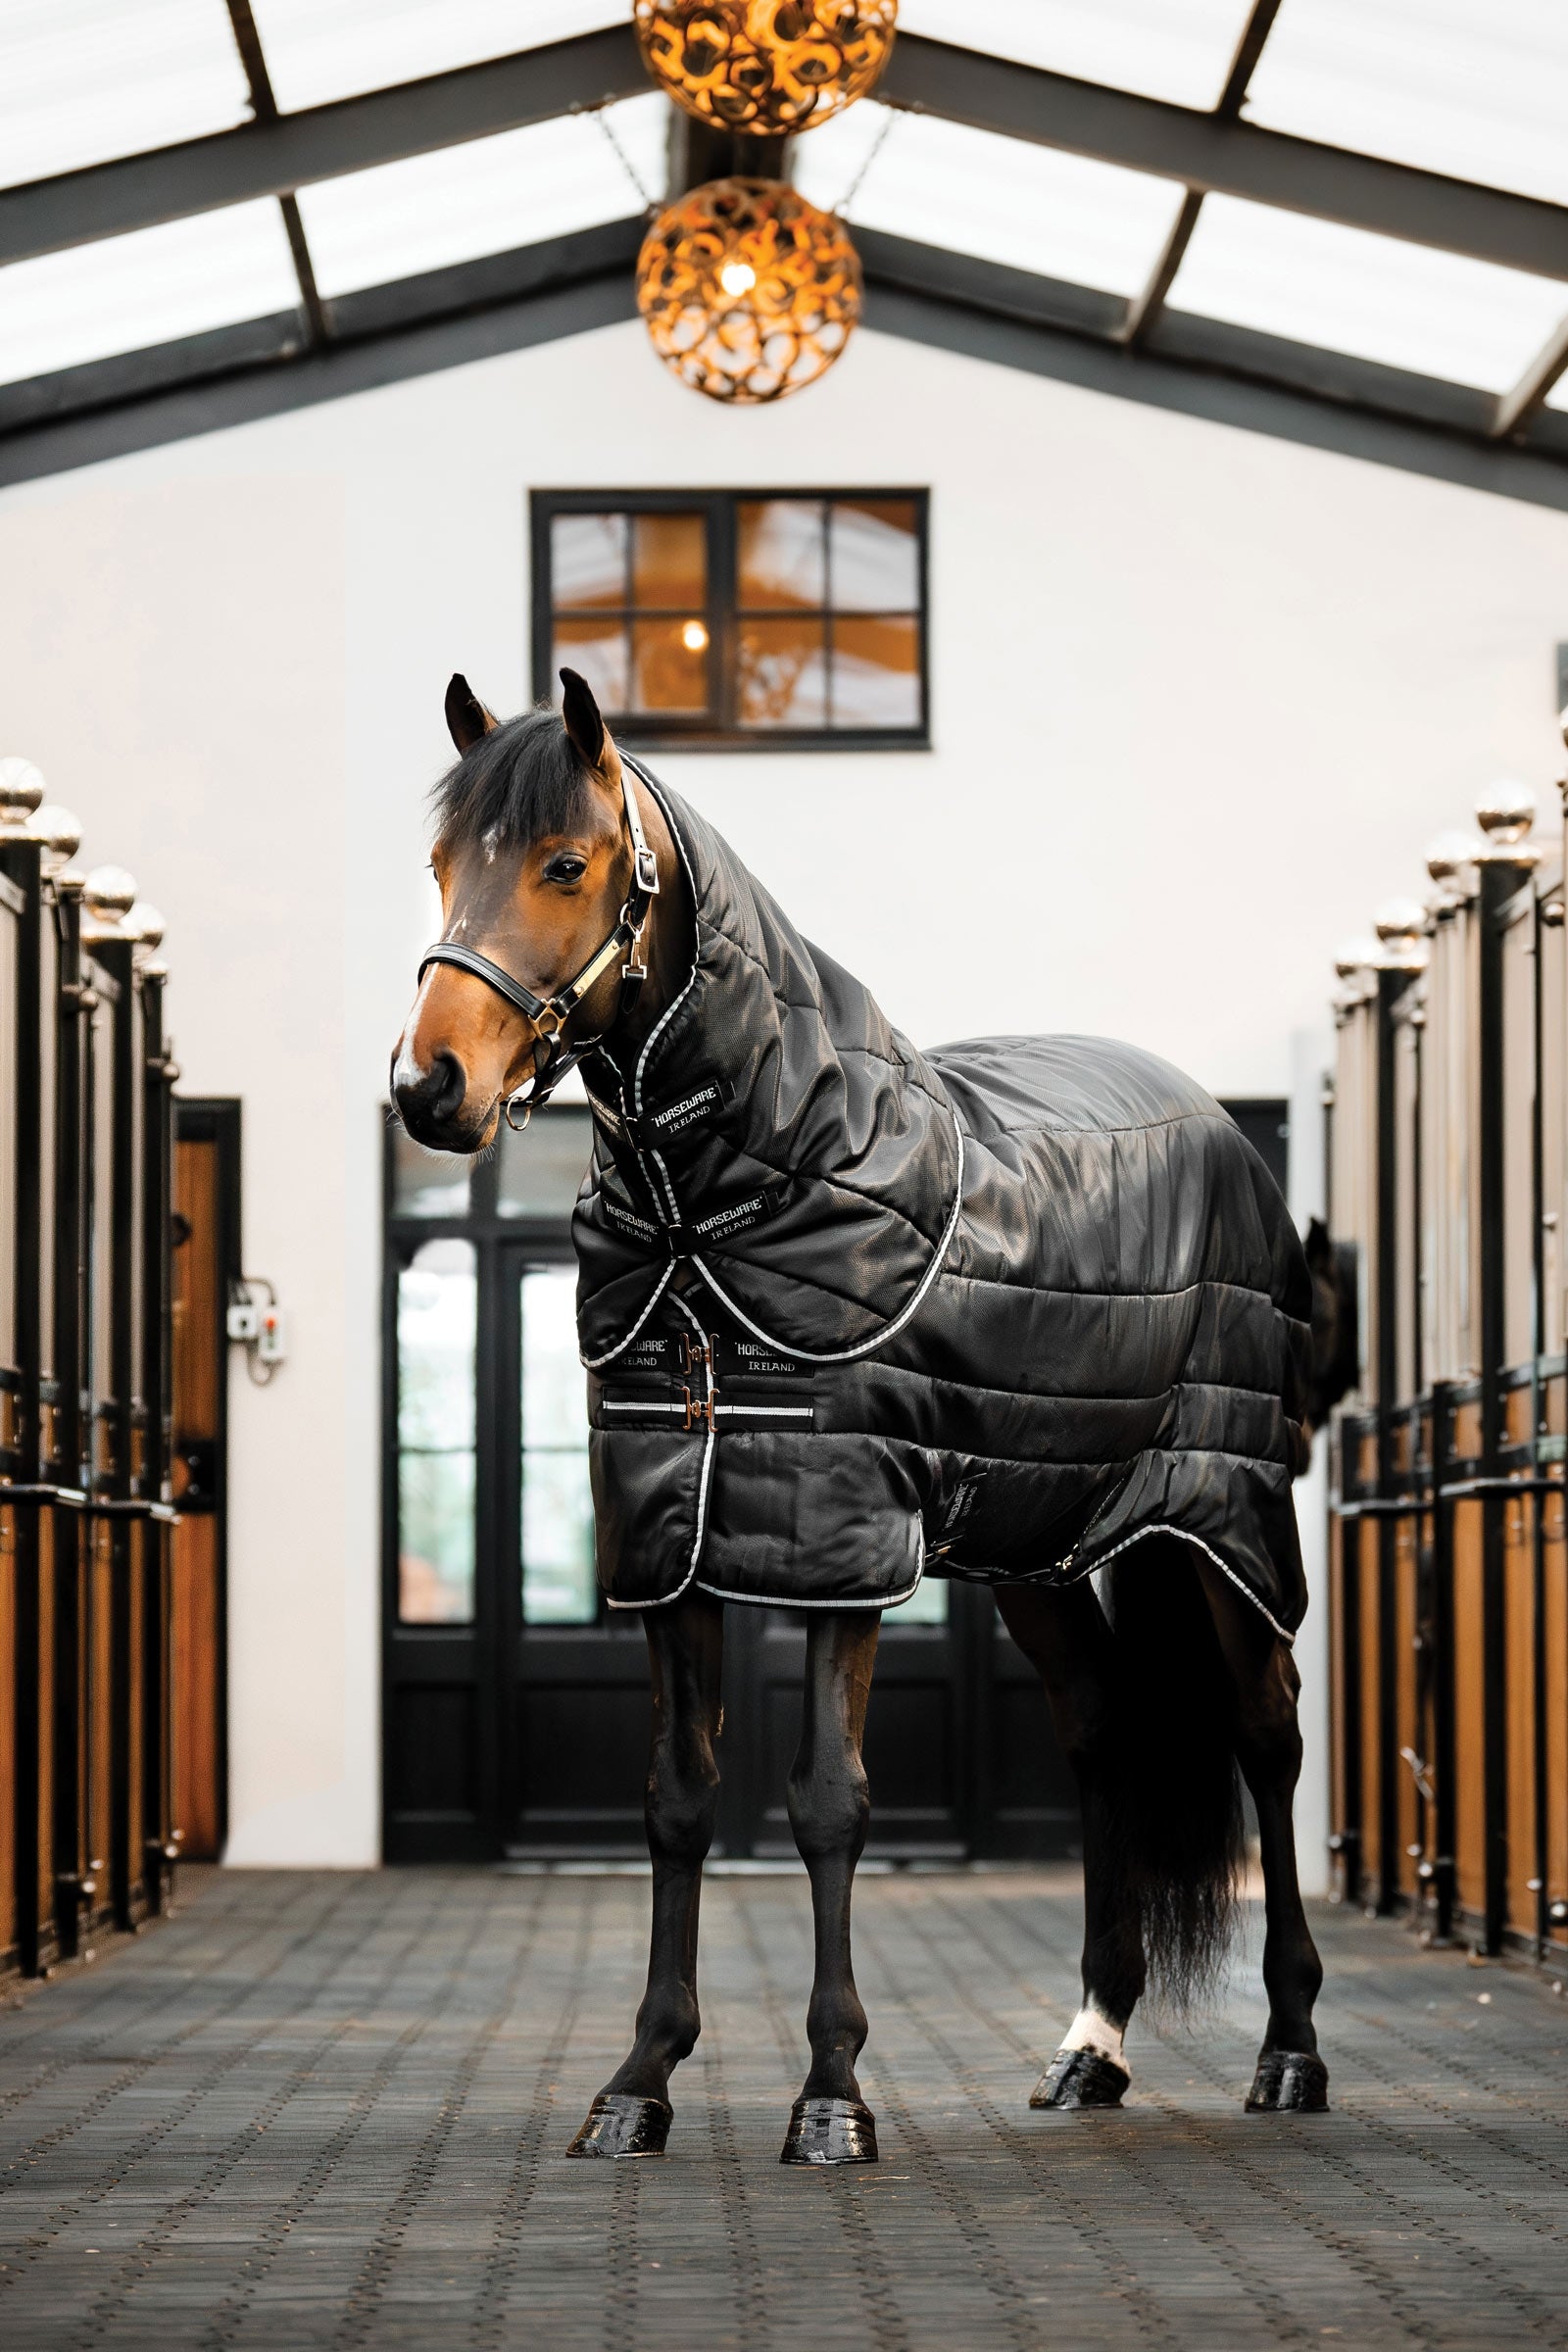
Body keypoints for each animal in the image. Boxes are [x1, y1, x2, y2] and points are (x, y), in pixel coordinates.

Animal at [392, 669, 1328, 2166]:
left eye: (565, 863)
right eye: (438, 866)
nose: (430, 1087)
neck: (733, 1202)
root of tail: (1223, 1130)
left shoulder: (838, 1541)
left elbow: (830, 1800)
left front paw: (831, 2096)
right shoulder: (671, 1543)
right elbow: (675, 1799)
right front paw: (639, 2083)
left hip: (1222, 1513)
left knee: (1266, 1730)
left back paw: (1290, 2049)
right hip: (1034, 1540)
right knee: (1102, 1726)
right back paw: (1092, 2046)